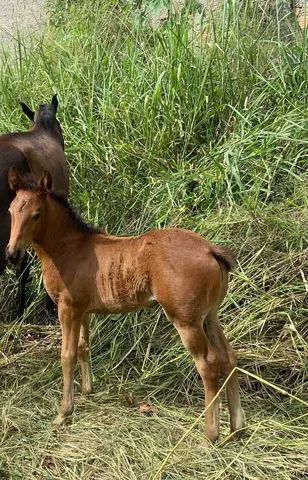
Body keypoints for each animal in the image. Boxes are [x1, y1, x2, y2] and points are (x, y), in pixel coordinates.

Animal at [5, 171, 245, 444]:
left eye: (36, 214)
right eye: (11, 210)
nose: (12, 254)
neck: (69, 248)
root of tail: (210, 250)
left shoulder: (67, 309)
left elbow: (67, 355)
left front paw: (63, 413)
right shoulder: (83, 310)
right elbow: (83, 347)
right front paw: (87, 391)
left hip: (187, 321)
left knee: (208, 364)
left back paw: (210, 434)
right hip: (210, 316)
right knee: (228, 357)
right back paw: (237, 427)